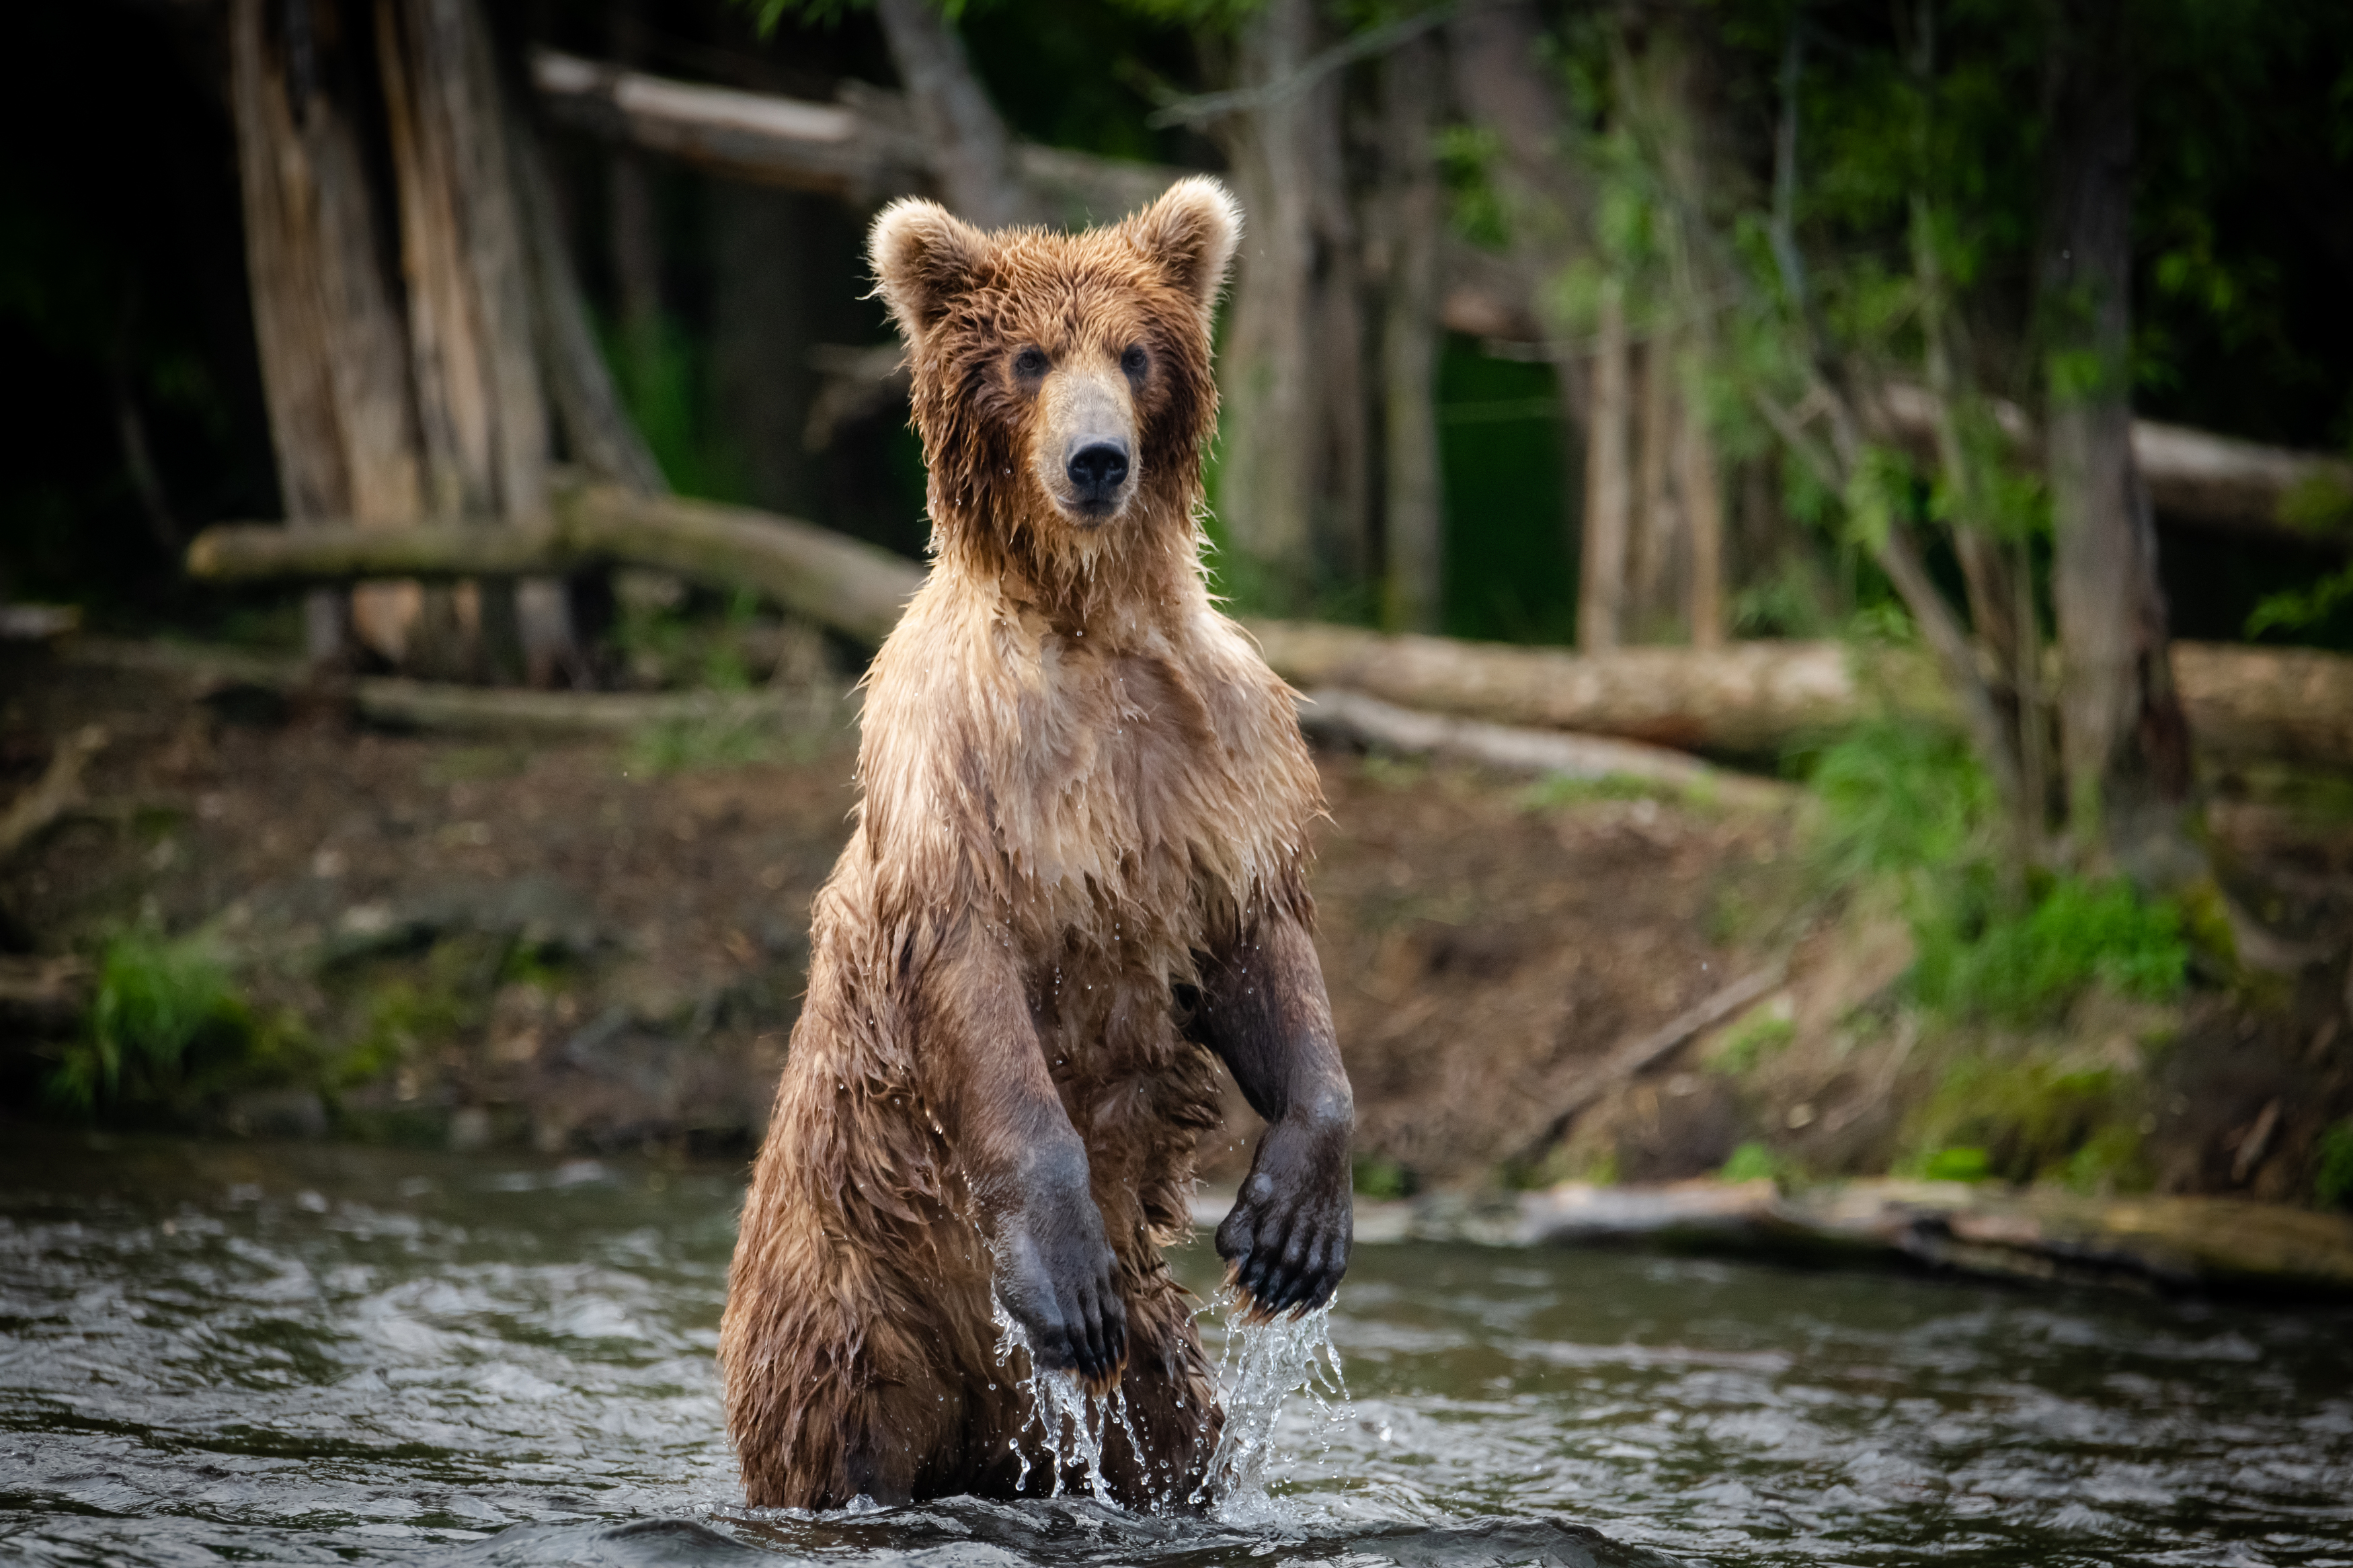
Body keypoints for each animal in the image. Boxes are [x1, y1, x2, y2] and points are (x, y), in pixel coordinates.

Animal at [720, 177, 1365, 1514]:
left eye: (1134, 352)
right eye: (1028, 358)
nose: (1097, 458)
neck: (1086, 624)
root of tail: (982, 1411)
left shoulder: (1214, 764)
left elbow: (1261, 944)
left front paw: (1291, 1228)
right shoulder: (962, 774)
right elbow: (979, 992)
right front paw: (1064, 1272)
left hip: (1153, 1371)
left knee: (1170, 1434)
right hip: (848, 1299)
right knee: (844, 1431)